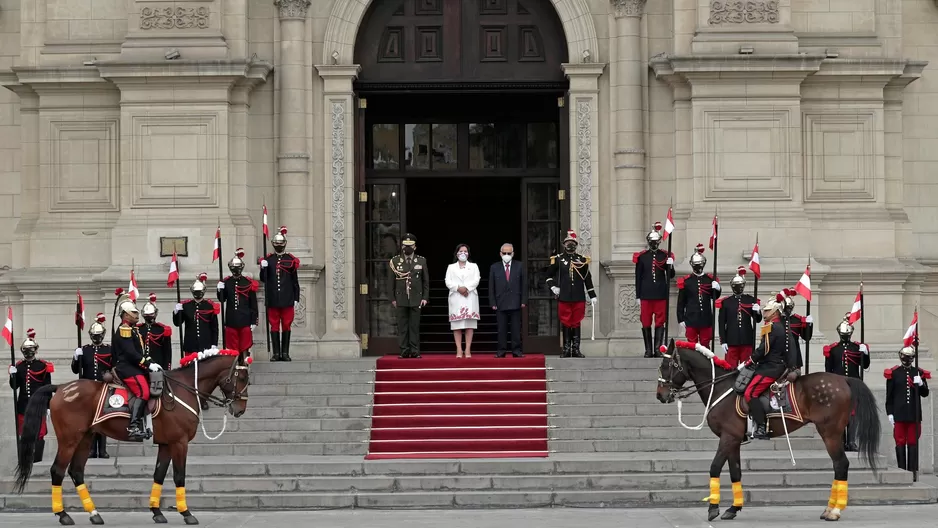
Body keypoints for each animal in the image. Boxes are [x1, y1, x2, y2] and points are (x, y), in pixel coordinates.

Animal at [13, 348, 252, 524]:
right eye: (241, 377)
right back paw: (63, 515)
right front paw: (186, 513)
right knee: (57, 471)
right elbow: (179, 476)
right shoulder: (179, 442)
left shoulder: (166, 443)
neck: (182, 389)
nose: (240, 410)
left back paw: (94, 514)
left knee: (76, 471)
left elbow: (159, 474)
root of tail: (61, 387)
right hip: (69, 440)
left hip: (85, 438)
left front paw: (157, 512)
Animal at [652, 340, 876, 520]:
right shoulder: (734, 440)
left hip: (830, 433)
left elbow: (714, 467)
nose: (660, 395)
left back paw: (834, 511)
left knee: (841, 464)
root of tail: (843, 379)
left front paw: (713, 508)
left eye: (666, 365)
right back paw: (830, 509)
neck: (721, 388)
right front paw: (733, 509)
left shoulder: (727, 437)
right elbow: (735, 472)